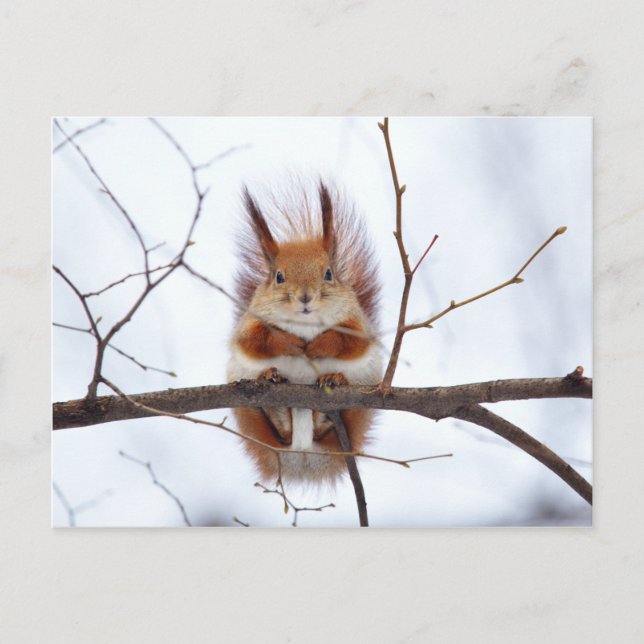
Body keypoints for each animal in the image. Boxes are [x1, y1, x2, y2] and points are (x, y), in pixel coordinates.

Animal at [227, 182, 382, 485]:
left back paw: (333, 382)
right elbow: (254, 341)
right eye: (278, 277)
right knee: (282, 431)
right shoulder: (249, 325)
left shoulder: (358, 325)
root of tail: (302, 455)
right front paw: (290, 342)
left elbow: (350, 343)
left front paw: (319, 346)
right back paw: (271, 381)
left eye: (329, 273)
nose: (305, 297)